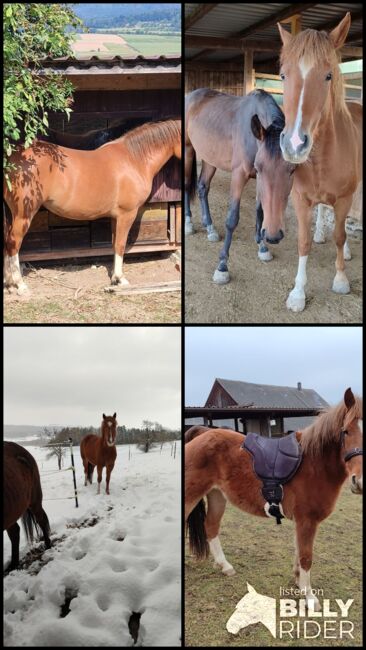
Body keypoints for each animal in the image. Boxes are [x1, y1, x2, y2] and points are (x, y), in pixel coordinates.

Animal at [2, 119, 180, 294]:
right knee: (13, 242)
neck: (133, 160)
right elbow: (121, 245)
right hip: (23, 214)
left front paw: (114, 278)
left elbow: (115, 244)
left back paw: (8, 283)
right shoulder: (127, 214)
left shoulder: (116, 217)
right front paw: (120, 279)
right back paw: (19, 285)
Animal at [184, 87, 296, 282]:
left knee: (202, 187)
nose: (273, 235)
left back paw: (210, 228)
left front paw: (262, 246)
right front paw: (222, 266)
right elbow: (232, 219)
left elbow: (260, 211)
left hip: (210, 158)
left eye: (292, 170)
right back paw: (189, 223)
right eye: (260, 168)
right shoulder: (239, 175)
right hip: (188, 150)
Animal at [186, 388, 364, 612]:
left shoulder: (302, 522)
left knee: (211, 526)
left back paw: (225, 566)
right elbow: (306, 557)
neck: (314, 463)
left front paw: (298, 583)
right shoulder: (307, 521)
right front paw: (310, 598)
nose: (360, 481)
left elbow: (298, 553)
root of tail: (202, 433)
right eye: (346, 431)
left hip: (217, 495)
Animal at [278, 12, 362, 312]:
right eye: (283, 75)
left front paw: (341, 280)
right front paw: (297, 294)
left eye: (328, 75)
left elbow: (340, 235)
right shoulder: (300, 198)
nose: (294, 144)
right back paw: (320, 234)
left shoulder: (345, 197)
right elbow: (303, 243)